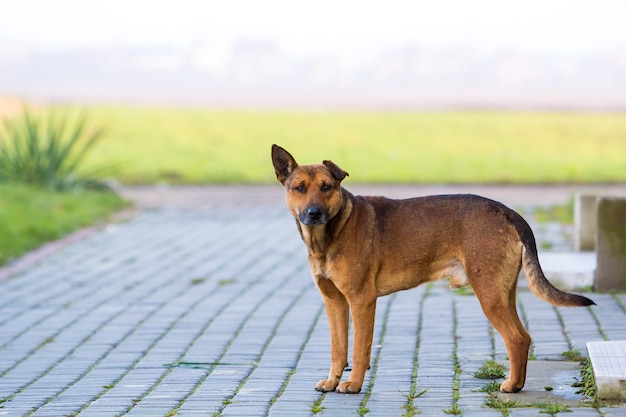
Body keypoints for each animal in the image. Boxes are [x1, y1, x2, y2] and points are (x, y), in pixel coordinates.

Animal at [270, 144, 592, 394]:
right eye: (299, 188)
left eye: (327, 187)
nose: (314, 213)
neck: (331, 234)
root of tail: (508, 212)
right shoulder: (334, 302)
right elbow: (338, 350)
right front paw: (332, 382)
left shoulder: (362, 301)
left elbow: (360, 349)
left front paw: (354, 384)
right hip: (503, 292)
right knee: (523, 338)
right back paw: (518, 383)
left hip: (488, 294)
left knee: (514, 338)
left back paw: (511, 386)